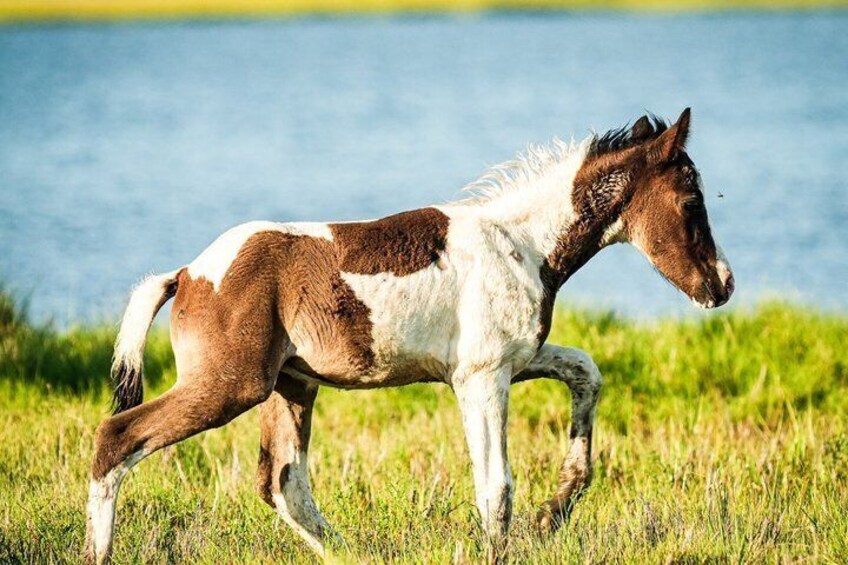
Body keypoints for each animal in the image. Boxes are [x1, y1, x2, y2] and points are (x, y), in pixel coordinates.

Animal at [85, 108, 734, 563]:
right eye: (691, 201)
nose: (722, 284)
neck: (521, 245)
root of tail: (188, 274)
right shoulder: (481, 378)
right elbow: (495, 488)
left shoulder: (513, 360)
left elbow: (587, 373)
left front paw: (558, 508)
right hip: (230, 384)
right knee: (118, 437)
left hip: (290, 385)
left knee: (283, 482)